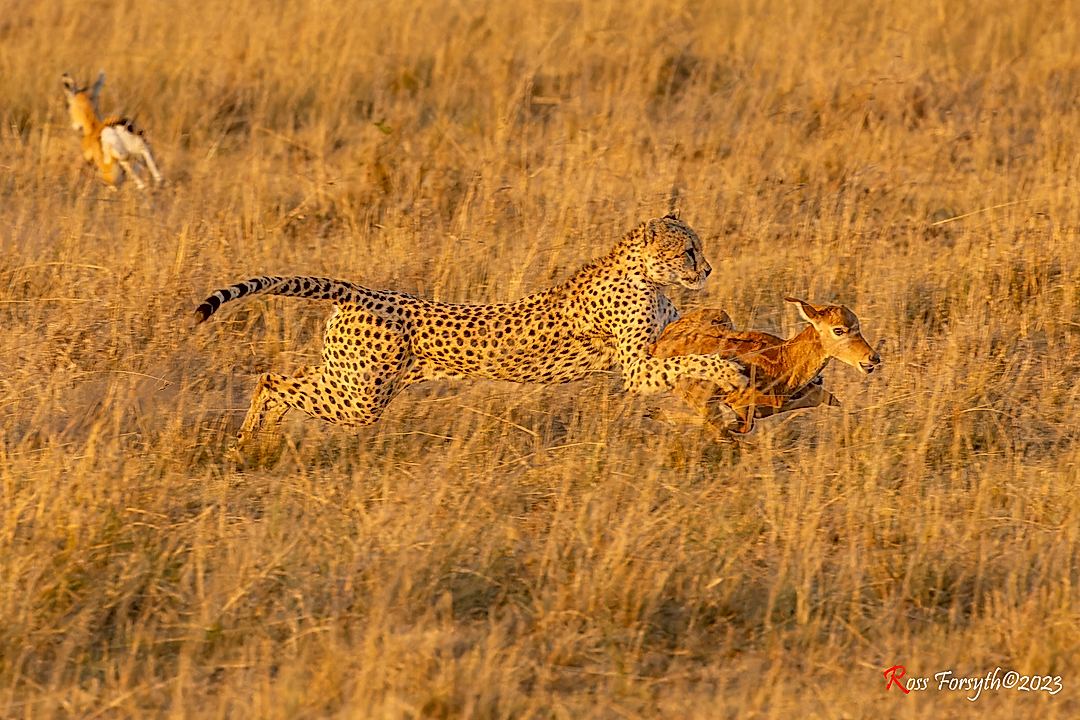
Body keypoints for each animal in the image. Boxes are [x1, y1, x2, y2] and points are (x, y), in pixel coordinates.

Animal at [192, 214, 748, 447]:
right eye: (689, 250)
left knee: (283, 380)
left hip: (350, 382)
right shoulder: (635, 367)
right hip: (360, 399)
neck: (642, 272)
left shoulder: (663, 335)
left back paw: (256, 437)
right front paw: (732, 372)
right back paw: (250, 436)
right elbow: (689, 361)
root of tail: (363, 291)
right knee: (270, 379)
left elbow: (704, 334)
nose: (708, 269)